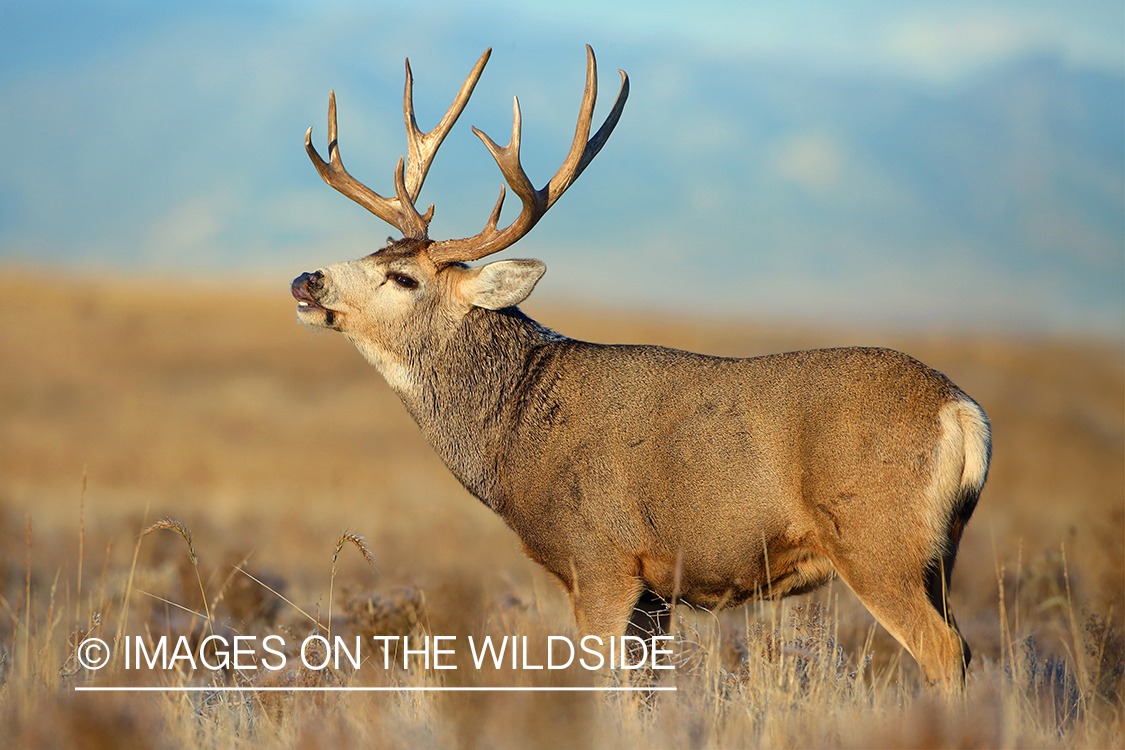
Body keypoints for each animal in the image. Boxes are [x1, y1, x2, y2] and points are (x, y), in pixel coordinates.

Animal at [294, 45, 990, 692]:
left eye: (403, 277)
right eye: (376, 251)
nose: (307, 279)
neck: (517, 426)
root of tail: (960, 411)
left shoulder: (601, 557)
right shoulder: (653, 588)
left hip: (878, 540)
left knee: (942, 651)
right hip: (940, 553)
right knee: (962, 644)